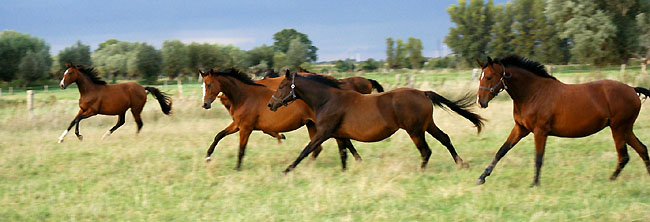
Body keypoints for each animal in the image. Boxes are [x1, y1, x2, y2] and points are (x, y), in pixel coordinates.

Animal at [199, 67, 360, 170]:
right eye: (203, 85)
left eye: (209, 84)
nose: (205, 104)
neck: (245, 96)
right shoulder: (238, 125)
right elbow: (219, 135)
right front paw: (208, 156)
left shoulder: (246, 128)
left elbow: (241, 149)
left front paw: (237, 168)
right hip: (312, 125)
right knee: (319, 148)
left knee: (341, 142)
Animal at [266, 70, 484, 173]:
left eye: (282, 86)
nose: (271, 104)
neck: (328, 100)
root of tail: (423, 92)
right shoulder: (338, 135)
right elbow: (344, 153)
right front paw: (345, 172)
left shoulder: (324, 133)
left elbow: (305, 151)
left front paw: (285, 171)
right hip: (427, 125)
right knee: (445, 139)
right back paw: (461, 163)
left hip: (414, 130)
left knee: (426, 150)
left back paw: (421, 171)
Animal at [470, 54, 648, 186]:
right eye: (480, 77)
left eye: (489, 77)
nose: (480, 102)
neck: (533, 93)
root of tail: (632, 89)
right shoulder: (520, 128)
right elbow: (501, 151)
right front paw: (482, 177)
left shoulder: (540, 132)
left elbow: (538, 158)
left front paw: (535, 183)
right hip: (626, 129)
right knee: (642, 149)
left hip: (618, 128)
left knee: (624, 156)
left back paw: (611, 179)